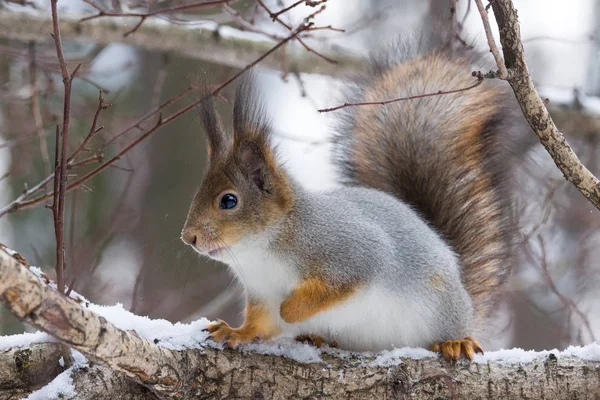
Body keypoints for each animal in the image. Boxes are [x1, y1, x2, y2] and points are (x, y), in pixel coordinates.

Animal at [180, 31, 528, 362]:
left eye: (228, 201)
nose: (188, 237)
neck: (261, 250)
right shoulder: (261, 292)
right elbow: (260, 325)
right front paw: (235, 331)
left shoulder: (350, 251)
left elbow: (343, 283)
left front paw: (291, 310)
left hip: (442, 307)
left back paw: (456, 342)